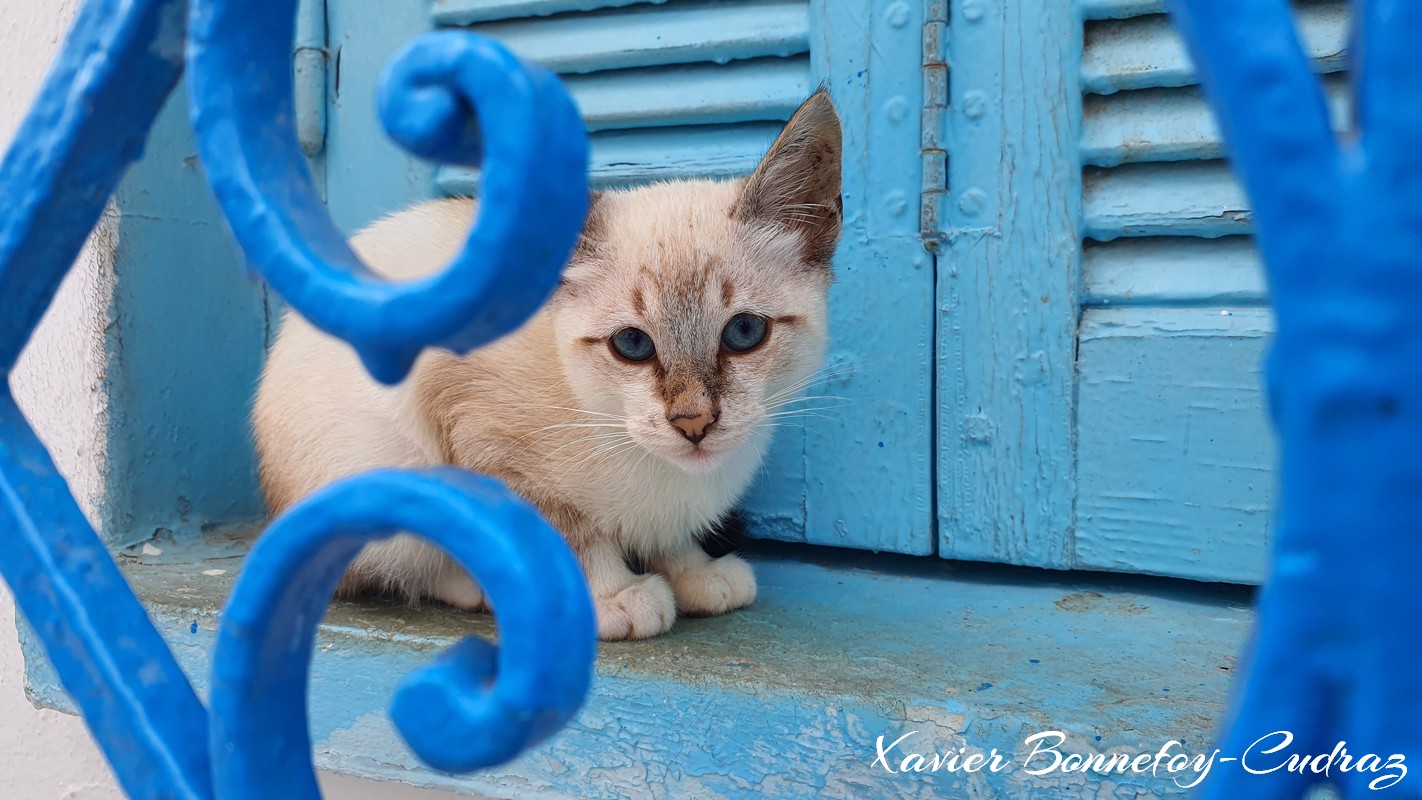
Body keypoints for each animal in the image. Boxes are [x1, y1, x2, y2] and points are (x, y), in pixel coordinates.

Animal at [254, 90, 836, 639]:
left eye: (744, 333)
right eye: (632, 344)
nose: (693, 423)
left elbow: (667, 536)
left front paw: (695, 572)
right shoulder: (473, 425)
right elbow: (564, 528)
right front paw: (610, 597)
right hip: (379, 464)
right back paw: (480, 585)